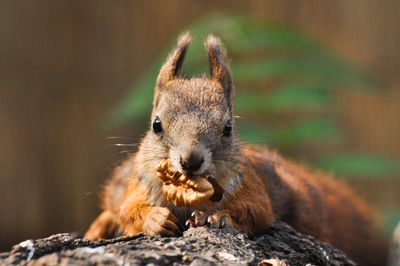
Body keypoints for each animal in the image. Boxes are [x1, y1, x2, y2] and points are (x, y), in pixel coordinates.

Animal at [86, 32, 390, 264]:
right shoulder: (140, 182)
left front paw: (218, 218)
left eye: (228, 128)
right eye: (156, 125)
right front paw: (156, 220)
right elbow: (129, 210)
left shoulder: (251, 186)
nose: (190, 161)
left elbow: (257, 212)